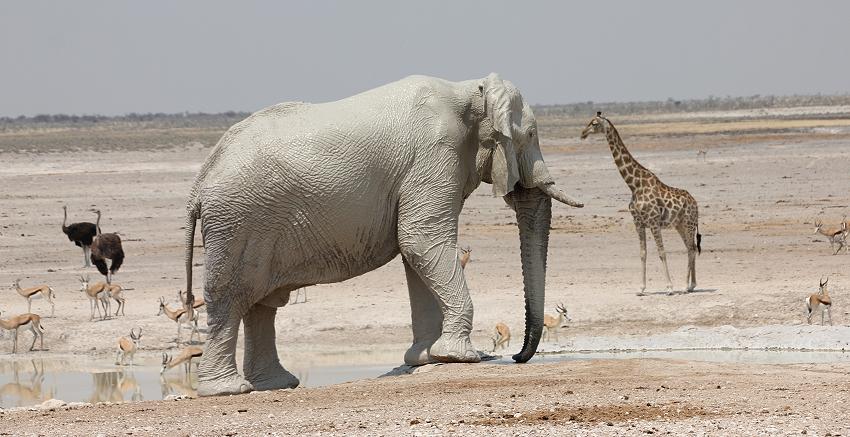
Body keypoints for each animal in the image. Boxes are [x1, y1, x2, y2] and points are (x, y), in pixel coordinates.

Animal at [185, 72, 584, 396]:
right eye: (530, 134)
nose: (517, 356)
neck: (469, 90)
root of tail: (199, 183)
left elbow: (416, 252)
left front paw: (426, 359)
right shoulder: (435, 156)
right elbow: (421, 240)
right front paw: (464, 356)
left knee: (261, 304)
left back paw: (276, 385)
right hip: (237, 221)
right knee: (231, 298)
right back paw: (229, 390)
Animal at [580, 112, 700, 294]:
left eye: (594, 123)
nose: (582, 133)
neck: (634, 185)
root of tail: (695, 203)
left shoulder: (653, 222)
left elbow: (662, 252)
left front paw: (669, 287)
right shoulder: (638, 222)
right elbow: (643, 253)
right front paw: (641, 288)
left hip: (689, 223)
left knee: (691, 249)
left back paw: (686, 286)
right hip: (679, 225)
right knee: (690, 247)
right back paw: (691, 285)